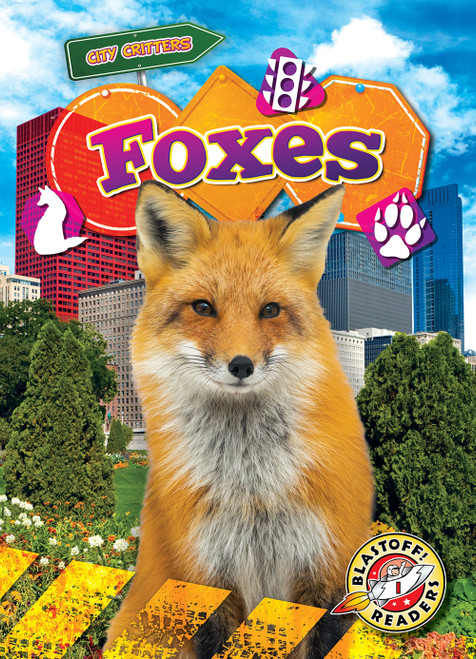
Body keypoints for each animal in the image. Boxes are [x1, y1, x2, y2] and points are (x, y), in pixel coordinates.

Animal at [104, 180, 374, 658]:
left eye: (269, 310)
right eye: (203, 308)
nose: (241, 365)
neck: (253, 492)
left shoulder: (329, 576)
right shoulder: (203, 579)